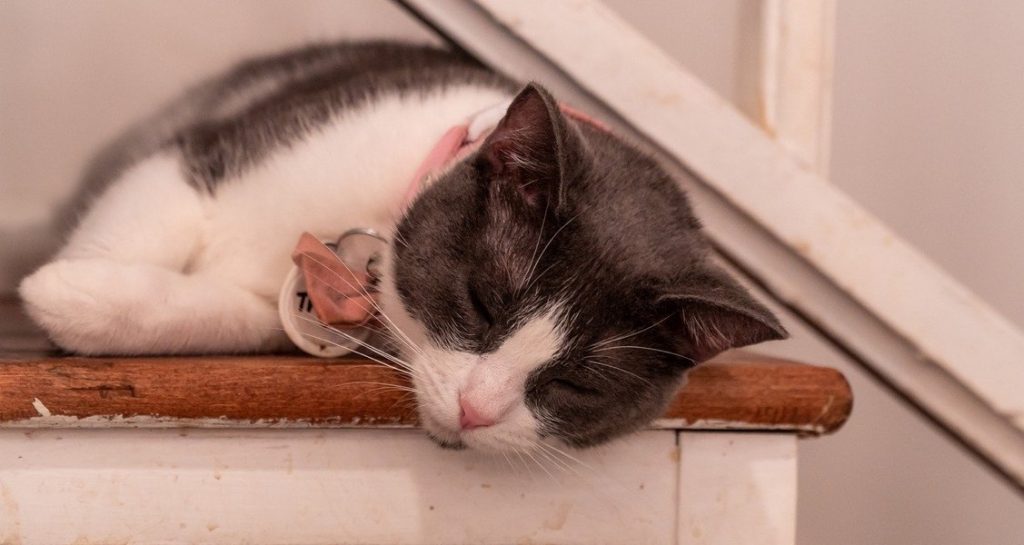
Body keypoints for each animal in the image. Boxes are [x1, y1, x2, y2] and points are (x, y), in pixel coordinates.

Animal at [19, 41, 786, 450]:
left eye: (576, 384)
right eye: (482, 303)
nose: (477, 410)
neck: (370, 230)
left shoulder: (281, 312)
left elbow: (227, 314)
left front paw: (78, 301)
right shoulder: (205, 150)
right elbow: (145, 214)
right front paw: (62, 284)